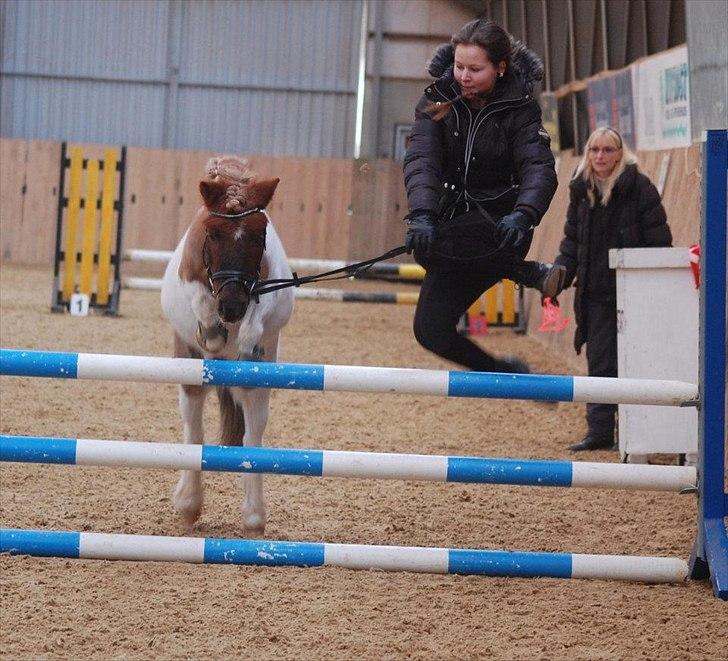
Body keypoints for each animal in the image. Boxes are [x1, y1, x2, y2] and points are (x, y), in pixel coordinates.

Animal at [161, 155, 294, 532]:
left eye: (260, 234)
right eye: (212, 232)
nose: (232, 307)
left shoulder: (266, 293)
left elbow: (256, 320)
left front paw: (245, 343)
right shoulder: (191, 281)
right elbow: (201, 302)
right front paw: (214, 332)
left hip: (262, 382)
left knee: (252, 434)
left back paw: (253, 517)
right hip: (189, 367)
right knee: (194, 429)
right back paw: (189, 504)